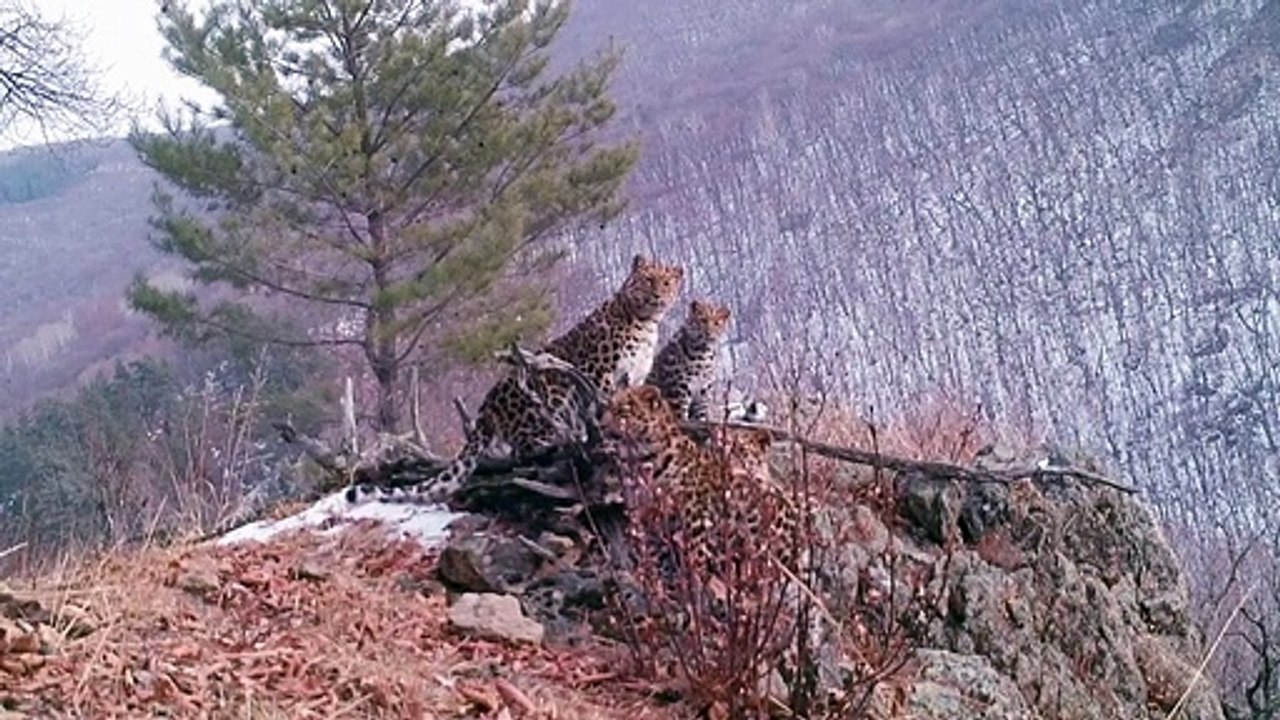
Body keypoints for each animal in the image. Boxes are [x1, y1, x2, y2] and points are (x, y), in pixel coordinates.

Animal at [345, 254, 684, 506]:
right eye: (648, 279)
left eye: (667, 282)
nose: (658, 294)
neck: (645, 322)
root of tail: (486, 407)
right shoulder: (600, 373)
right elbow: (601, 407)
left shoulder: (635, 379)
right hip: (545, 396)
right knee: (524, 448)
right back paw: (557, 439)